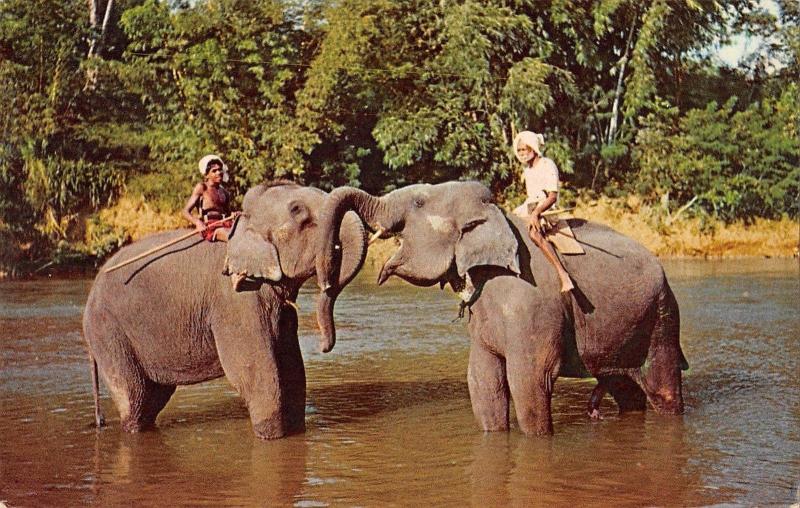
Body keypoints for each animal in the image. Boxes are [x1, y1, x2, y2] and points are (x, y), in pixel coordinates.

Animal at [83, 181, 366, 438]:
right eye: (299, 212)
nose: (323, 347)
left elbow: (292, 367)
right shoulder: (236, 300)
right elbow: (256, 372)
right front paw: (271, 437)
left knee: (152, 399)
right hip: (108, 332)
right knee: (134, 397)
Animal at [316, 183, 684, 436]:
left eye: (419, 202)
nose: (323, 346)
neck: (496, 217)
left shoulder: (532, 307)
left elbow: (529, 380)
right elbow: (483, 381)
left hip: (662, 315)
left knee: (663, 388)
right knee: (626, 390)